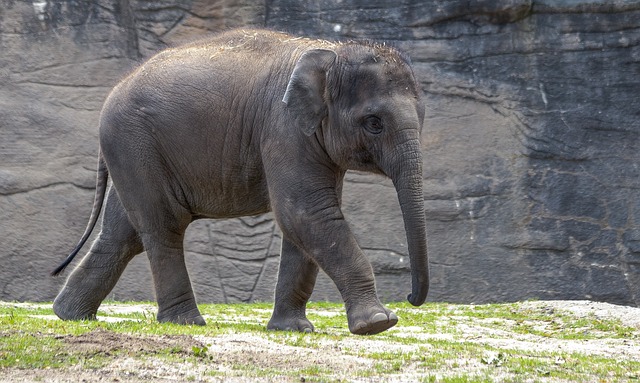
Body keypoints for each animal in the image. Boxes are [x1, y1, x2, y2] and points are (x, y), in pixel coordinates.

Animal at [51, 28, 430, 336]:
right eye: (374, 123)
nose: (411, 297)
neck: (332, 52)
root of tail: (114, 90)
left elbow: (304, 222)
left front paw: (293, 329)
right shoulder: (283, 128)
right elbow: (307, 213)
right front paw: (378, 324)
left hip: (132, 154)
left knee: (122, 234)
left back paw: (71, 315)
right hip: (133, 143)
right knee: (163, 226)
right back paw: (186, 323)